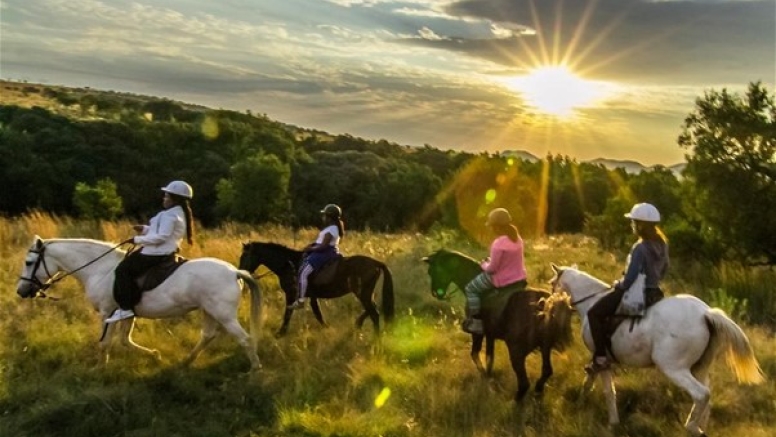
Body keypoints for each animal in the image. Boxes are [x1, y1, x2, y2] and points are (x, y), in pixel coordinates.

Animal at [14, 237, 264, 370]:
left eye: (29, 262)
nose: (21, 291)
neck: (100, 270)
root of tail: (234, 272)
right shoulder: (128, 313)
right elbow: (125, 341)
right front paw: (155, 355)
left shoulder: (108, 312)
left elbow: (105, 343)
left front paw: (100, 369)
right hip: (209, 311)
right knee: (208, 335)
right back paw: (186, 361)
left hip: (223, 314)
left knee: (244, 339)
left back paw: (255, 369)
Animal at [238, 240, 394, 336]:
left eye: (244, 256)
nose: (240, 274)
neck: (289, 264)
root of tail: (376, 263)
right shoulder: (312, 296)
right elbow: (317, 313)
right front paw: (327, 328)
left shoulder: (291, 294)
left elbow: (288, 313)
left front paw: (280, 334)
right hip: (365, 293)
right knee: (373, 308)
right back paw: (359, 324)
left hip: (362, 293)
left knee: (374, 312)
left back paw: (375, 339)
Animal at [422, 247, 572, 400]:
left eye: (432, 271)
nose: (436, 293)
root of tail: (546, 304)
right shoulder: (490, 334)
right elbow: (489, 357)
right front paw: (489, 377)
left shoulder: (478, 333)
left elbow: (475, 354)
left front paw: (484, 375)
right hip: (545, 347)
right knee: (546, 371)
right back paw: (537, 392)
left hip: (517, 350)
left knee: (524, 383)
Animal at [552, 262, 764, 436]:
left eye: (551, 282)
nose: (551, 299)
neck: (591, 301)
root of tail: (706, 314)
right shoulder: (600, 359)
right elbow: (589, 380)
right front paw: (581, 401)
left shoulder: (602, 358)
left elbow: (608, 392)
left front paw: (613, 422)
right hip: (699, 368)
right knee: (707, 398)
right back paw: (700, 427)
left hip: (673, 367)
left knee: (701, 394)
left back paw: (692, 427)